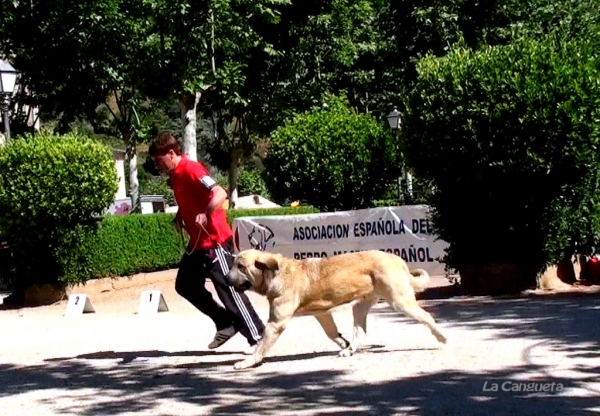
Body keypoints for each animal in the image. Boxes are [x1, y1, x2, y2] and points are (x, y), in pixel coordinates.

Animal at [227, 249, 448, 368]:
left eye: (241, 266)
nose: (227, 279)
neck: (275, 274)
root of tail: (396, 258)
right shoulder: (322, 315)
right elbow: (332, 333)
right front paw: (343, 343)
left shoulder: (275, 324)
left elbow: (261, 346)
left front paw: (248, 362)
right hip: (359, 307)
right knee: (360, 332)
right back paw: (349, 350)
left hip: (399, 301)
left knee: (427, 316)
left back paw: (442, 337)